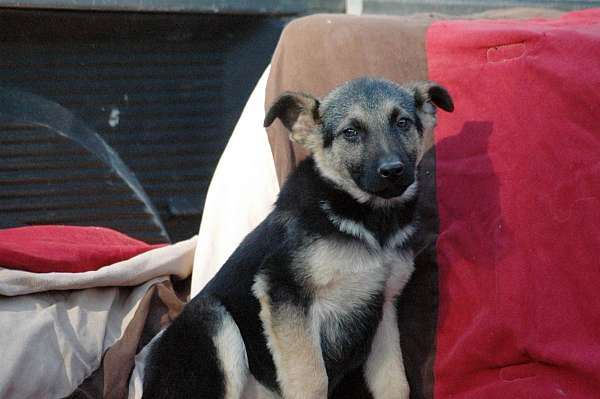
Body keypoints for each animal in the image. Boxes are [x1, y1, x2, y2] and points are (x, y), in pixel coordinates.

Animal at [144, 76, 454, 398]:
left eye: (403, 123)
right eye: (351, 132)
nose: (393, 171)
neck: (367, 219)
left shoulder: (383, 307)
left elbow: (395, 382)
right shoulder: (284, 291)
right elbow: (311, 378)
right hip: (210, 320)